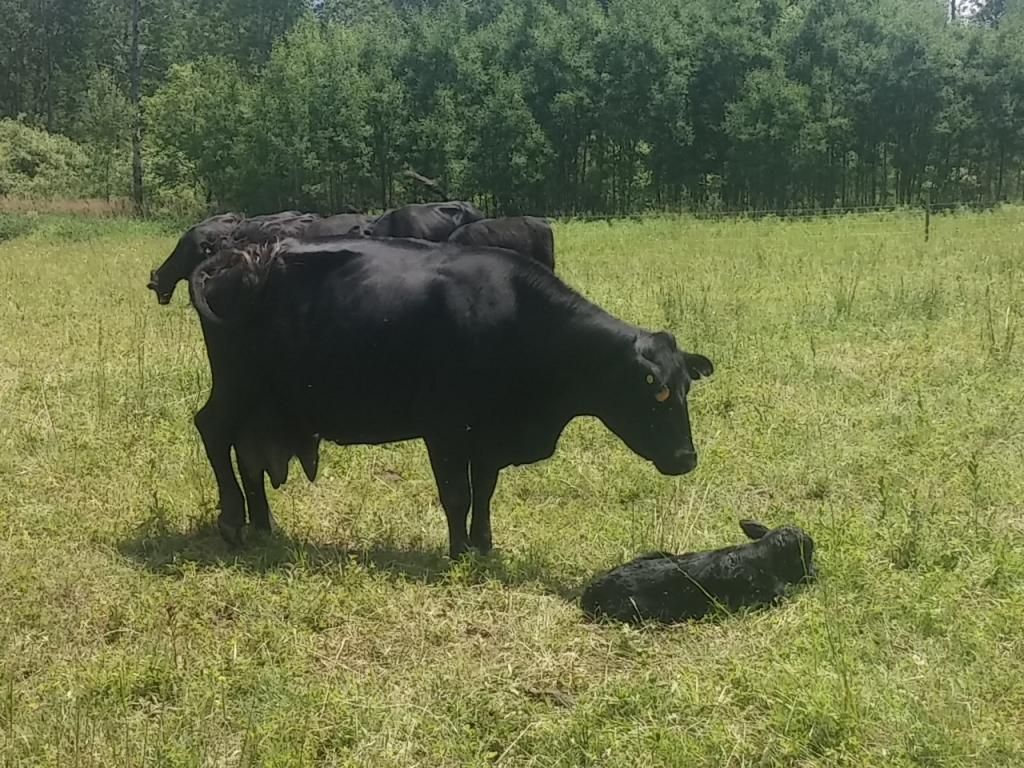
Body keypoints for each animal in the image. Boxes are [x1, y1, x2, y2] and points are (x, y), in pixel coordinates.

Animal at [187, 236, 714, 559]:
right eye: (658, 393)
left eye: (686, 388)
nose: (686, 458)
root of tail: (241, 255)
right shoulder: (444, 430)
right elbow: (457, 494)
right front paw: (459, 550)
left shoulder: (487, 439)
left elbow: (484, 490)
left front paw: (484, 544)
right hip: (236, 388)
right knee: (212, 430)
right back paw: (233, 520)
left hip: (262, 406)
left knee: (248, 454)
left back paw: (262, 525)